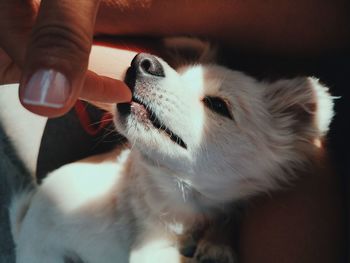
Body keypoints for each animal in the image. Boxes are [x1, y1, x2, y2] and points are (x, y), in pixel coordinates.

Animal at [6, 42, 334, 262]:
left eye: (218, 105)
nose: (143, 61)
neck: (184, 196)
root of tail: (24, 224)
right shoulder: (148, 253)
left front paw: (216, 244)